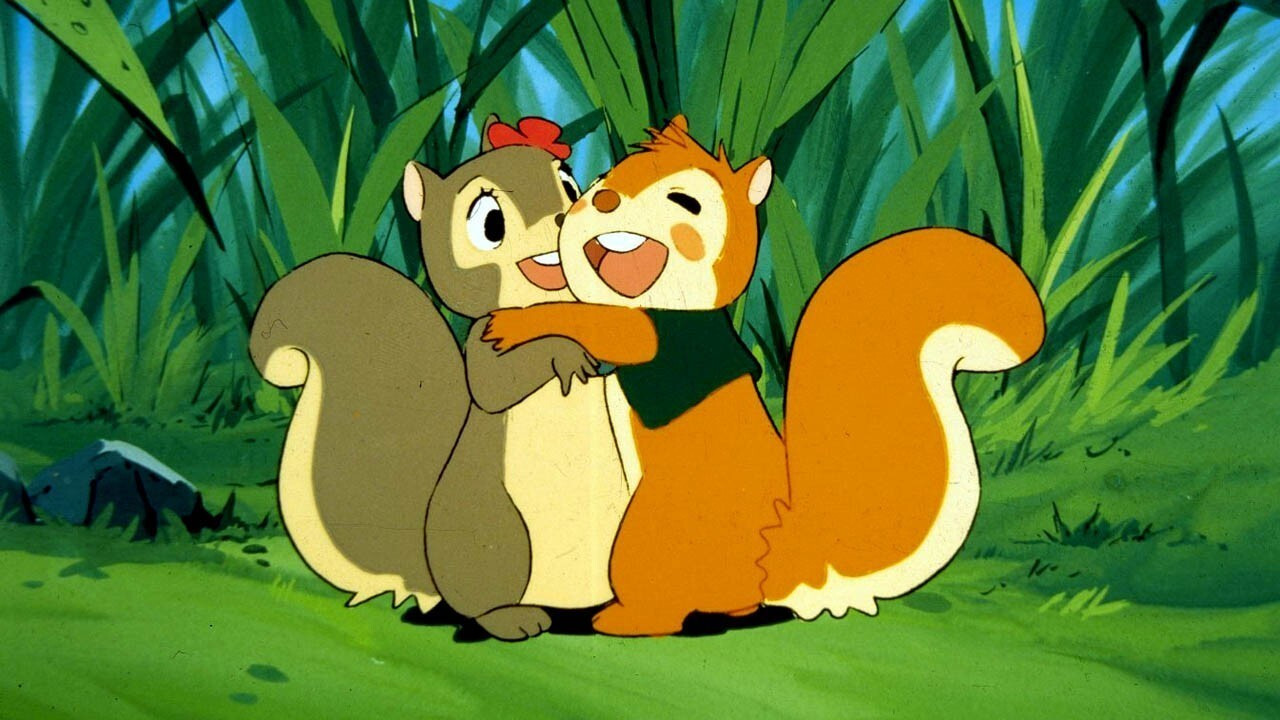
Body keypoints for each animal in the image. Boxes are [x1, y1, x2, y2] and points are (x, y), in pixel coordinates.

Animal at [250, 116, 633, 641]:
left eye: (571, 187)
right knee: (482, 599)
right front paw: (565, 352)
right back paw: (513, 618)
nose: (563, 219)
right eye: (490, 223)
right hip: (494, 530)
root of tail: (430, 579)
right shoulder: (483, 348)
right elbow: (497, 384)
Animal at [482, 115, 1047, 636]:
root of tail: (787, 560)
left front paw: (519, 322)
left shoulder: (665, 337)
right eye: (600, 181)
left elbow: (601, 325)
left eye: (685, 202)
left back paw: (627, 619)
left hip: (646, 540)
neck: (672, 301)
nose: (601, 201)